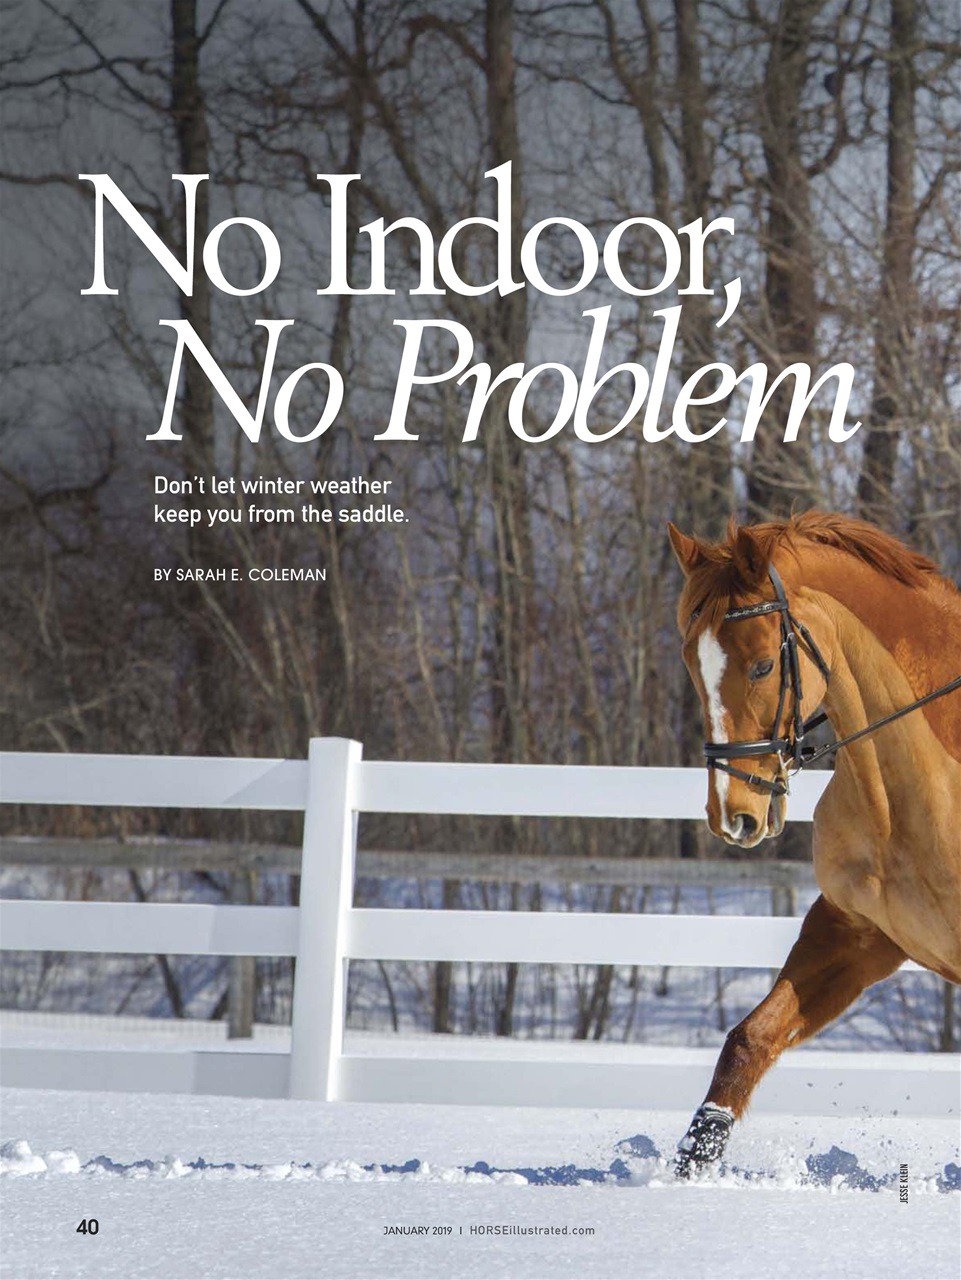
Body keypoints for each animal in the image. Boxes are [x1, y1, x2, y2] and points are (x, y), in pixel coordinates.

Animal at [667, 512, 961, 1175]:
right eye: (692, 664)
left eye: (761, 666)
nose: (734, 816)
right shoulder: (858, 933)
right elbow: (750, 1039)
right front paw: (688, 1169)